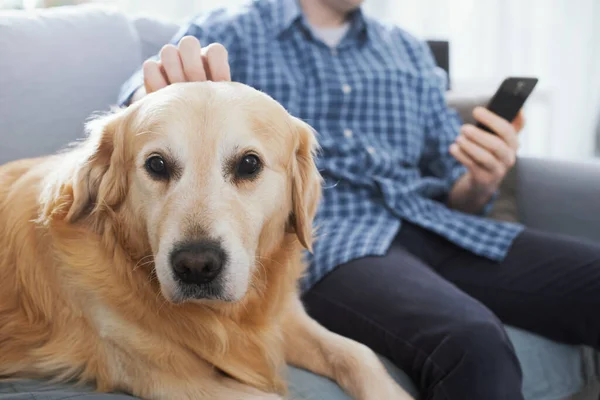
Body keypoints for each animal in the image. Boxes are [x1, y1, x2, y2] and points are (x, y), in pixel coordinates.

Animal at [0, 82, 412, 400]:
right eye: (156, 165)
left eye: (249, 164)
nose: (196, 266)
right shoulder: (174, 379)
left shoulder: (283, 319)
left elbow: (359, 353)